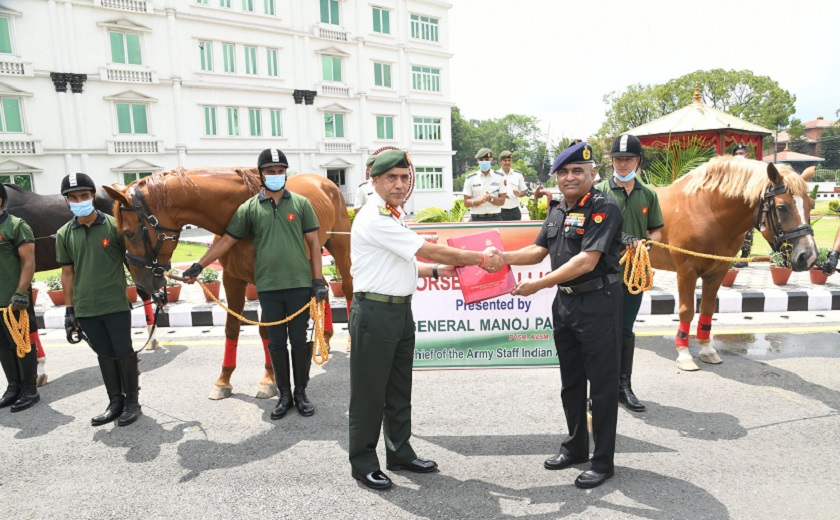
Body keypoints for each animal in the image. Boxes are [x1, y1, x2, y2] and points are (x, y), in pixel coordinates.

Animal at [105, 169, 354, 396]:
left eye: (128, 233)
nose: (142, 284)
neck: (237, 215)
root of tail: (325, 182)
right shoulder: (232, 279)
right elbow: (231, 328)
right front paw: (223, 379)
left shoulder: (266, 283)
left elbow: (266, 330)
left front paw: (268, 378)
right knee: (323, 287)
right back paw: (326, 339)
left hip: (339, 246)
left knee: (348, 286)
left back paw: (349, 340)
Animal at [648, 156, 816, 372]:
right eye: (781, 207)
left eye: (811, 205)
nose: (808, 256)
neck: (707, 211)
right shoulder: (686, 272)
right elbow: (686, 311)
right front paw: (684, 353)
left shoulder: (718, 272)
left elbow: (708, 308)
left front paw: (706, 349)